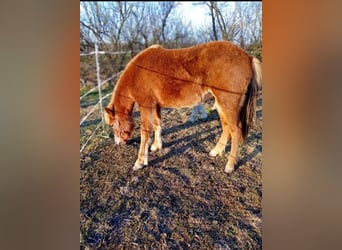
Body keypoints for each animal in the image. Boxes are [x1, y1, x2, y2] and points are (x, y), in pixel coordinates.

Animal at [104, 41, 262, 174]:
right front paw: (156, 146)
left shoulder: (146, 105)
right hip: (221, 105)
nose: (118, 143)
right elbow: (157, 124)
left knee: (235, 131)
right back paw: (216, 151)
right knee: (226, 128)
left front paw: (140, 162)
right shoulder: (156, 105)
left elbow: (145, 132)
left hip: (228, 105)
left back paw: (229, 165)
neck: (138, 71)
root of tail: (248, 57)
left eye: (114, 125)